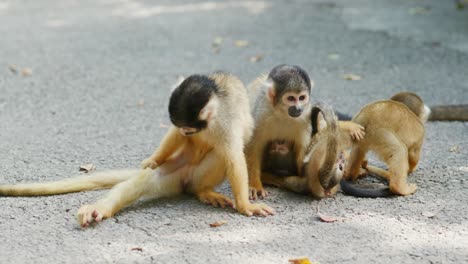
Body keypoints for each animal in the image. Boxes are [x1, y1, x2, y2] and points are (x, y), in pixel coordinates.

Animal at [0, 71, 274, 227]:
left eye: (190, 129)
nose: (187, 134)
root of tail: (187, 180)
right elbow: (171, 136)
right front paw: (153, 159)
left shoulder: (226, 125)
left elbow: (234, 157)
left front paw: (245, 206)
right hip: (176, 170)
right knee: (144, 181)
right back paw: (99, 209)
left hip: (194, 172)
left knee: (220, 156)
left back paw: (203, 190)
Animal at [247, 64, 364, 198]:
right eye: (291, 98)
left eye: (301, 98)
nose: (298, 108)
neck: (283, 114)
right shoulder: (260, 113)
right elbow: (253, 148)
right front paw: (254, 185)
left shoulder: (306, 114)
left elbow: (303, 153)